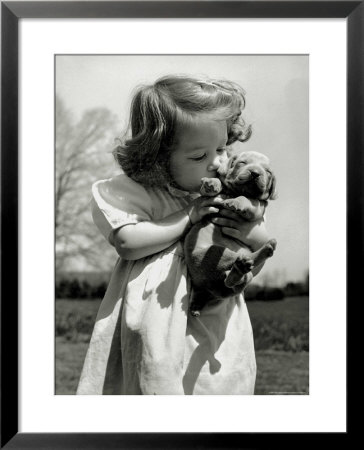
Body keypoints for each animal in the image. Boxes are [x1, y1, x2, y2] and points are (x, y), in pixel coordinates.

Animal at [183, 151, 278, 316]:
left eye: (268, 172)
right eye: (242, 163)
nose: (255, 173)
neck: (235, 191)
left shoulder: (258, 207)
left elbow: (247, 199)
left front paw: (237, 202)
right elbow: (212, 186)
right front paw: (211, 183)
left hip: (218, 254)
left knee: (239, 278)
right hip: (211, 259)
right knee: (235, 279)